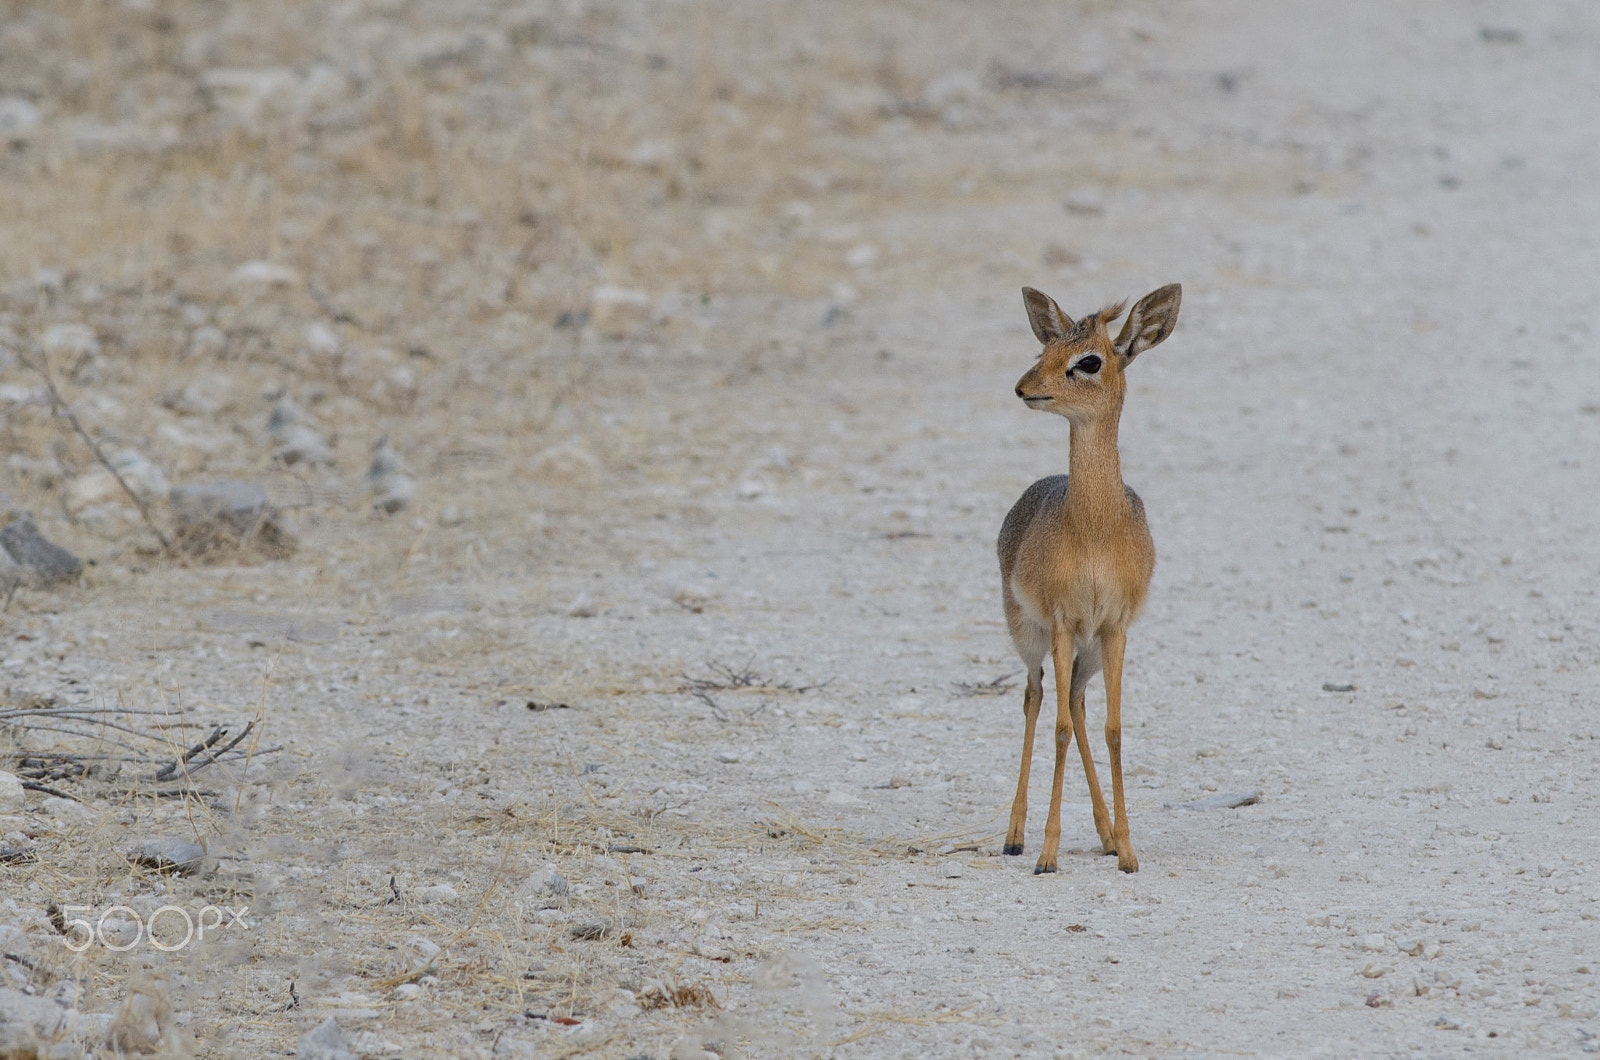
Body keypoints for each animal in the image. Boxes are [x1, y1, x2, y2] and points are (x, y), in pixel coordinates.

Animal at [992, 280, 1184, 871]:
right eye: (1044, 350)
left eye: (1089, 360)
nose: (1024, 388)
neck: (1096, 529)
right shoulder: (1059, 622)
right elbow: (1055, 728)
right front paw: (1047, 854)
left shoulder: (1114, 627)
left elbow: (1113, 729)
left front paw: (1128, 851)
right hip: (1029, 636)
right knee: (1036, 698)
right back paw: (1015, 837)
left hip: (1090, 649)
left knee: (1075, 701)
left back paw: (1105, 834)